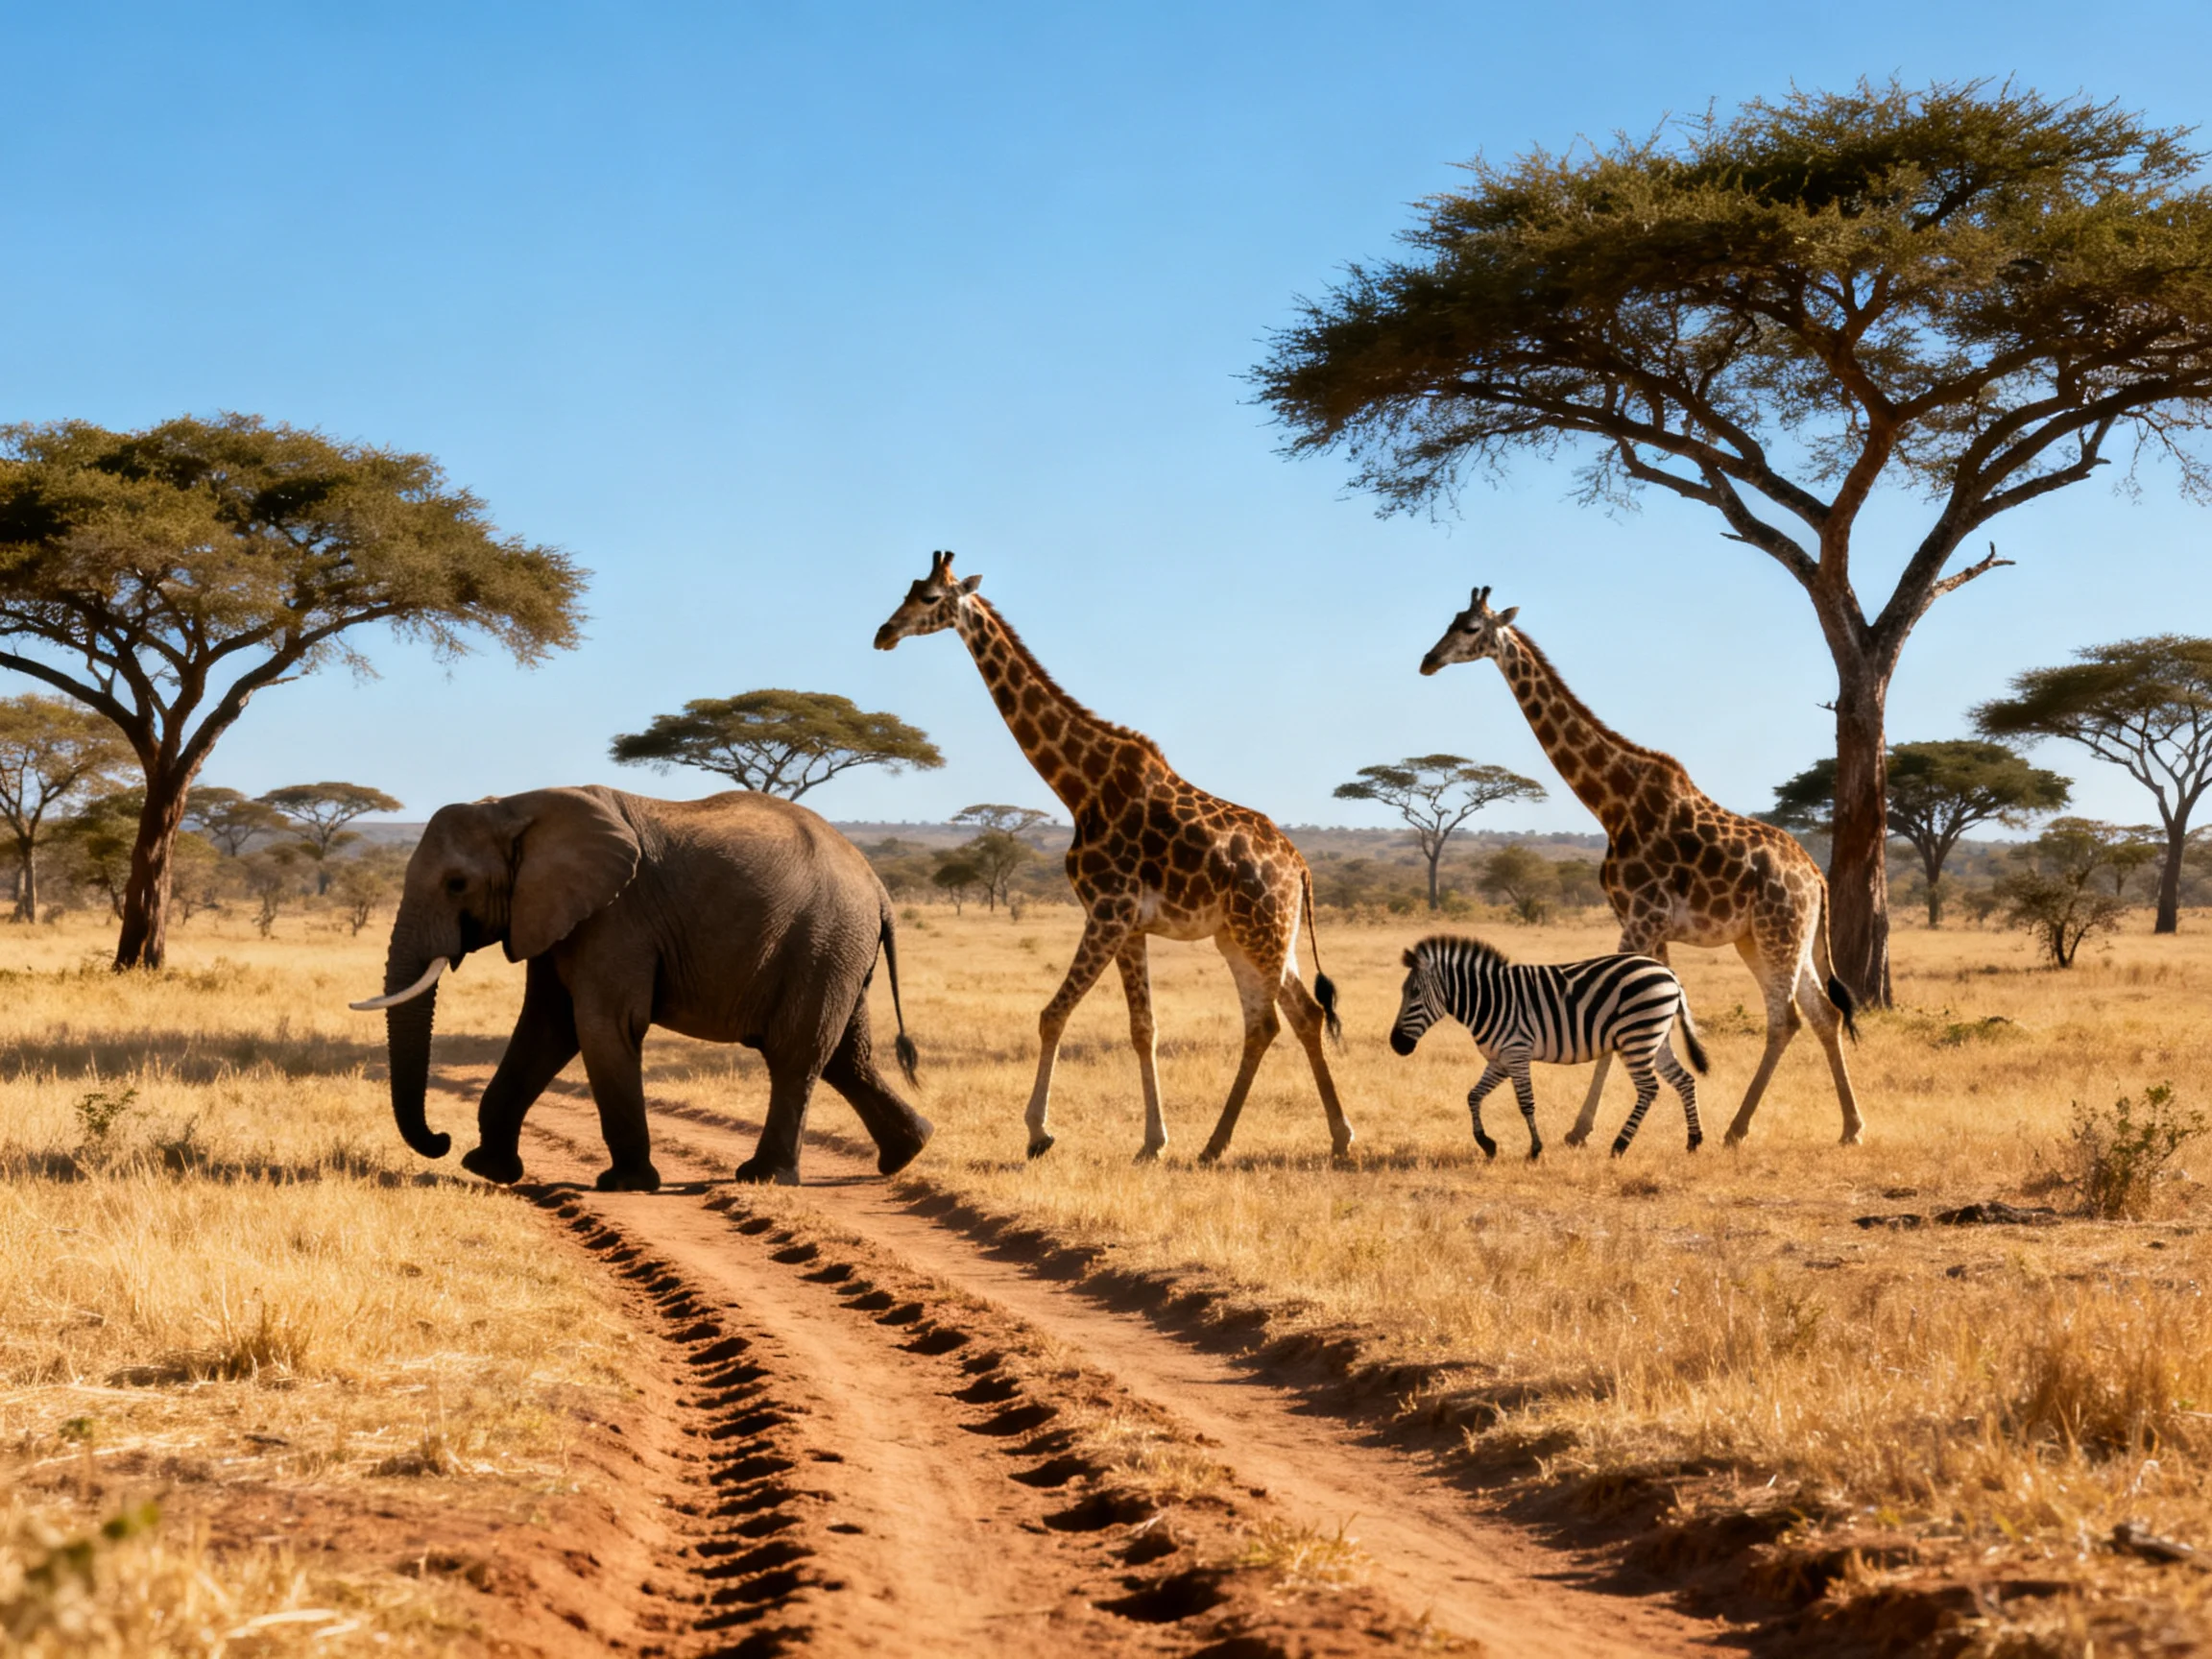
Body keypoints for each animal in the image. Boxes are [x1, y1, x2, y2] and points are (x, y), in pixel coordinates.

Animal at [350, 785, 933, 1190]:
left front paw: (625, 1185)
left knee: (796, 1054)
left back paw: (764, 1178)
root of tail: (877, 884)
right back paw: (910, 1151)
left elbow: (603, 1025)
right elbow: (546, 1027)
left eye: (456, 884)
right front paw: (488, 1170)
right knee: (846, 1057)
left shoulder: (615, 916)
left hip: (824, 940)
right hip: (838, 951)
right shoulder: (555, 915)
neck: (514, 806)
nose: (440, 1141)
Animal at [874, 551, 1353, 1165]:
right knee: (1295, 1016)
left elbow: (1053, 1013)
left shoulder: (1108, 911)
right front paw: (1152, 1142)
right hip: (1250, 936)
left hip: (1259, 930)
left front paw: (1039, 1133)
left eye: (932, 598)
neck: (1081, 786)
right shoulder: (1129, 924)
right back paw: (1325, 1138)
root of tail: (1300, 867)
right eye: (908, 590)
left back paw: (1223, 1143)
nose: (884, 634)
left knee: (1271, 1020)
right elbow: (1142, 1027)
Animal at [1389, 933, 1708, 1160]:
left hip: (1637, 1036)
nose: (1396, 1045)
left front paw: (1535, 1149)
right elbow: (1473, 1096)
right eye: (1404, 992)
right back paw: (1693, 1141)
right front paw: (1486, 1143)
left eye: (1414, 993)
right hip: (1655, 1037)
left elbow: (1526, 1102)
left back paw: (1619, 1145)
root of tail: (1668, 973)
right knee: (1684, 1080)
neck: (1489, 1000)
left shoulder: (1517, 1052)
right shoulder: (1500, 1059)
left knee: (1649, 1089)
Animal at [1419, 586, 1864, 1148]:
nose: (1428, 660)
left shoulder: (1641, 917)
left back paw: (1738, 1128)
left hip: (1777, 932)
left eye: (1472, 627)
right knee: (1823, 1013)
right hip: (1773, 938)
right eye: (1451, 620)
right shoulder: (1647, 924)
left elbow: (1618, 1020)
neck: (1613, 802)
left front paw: (1580, 1129)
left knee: (1787, 1018)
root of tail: (1817, 878)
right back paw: (1850, 1128)